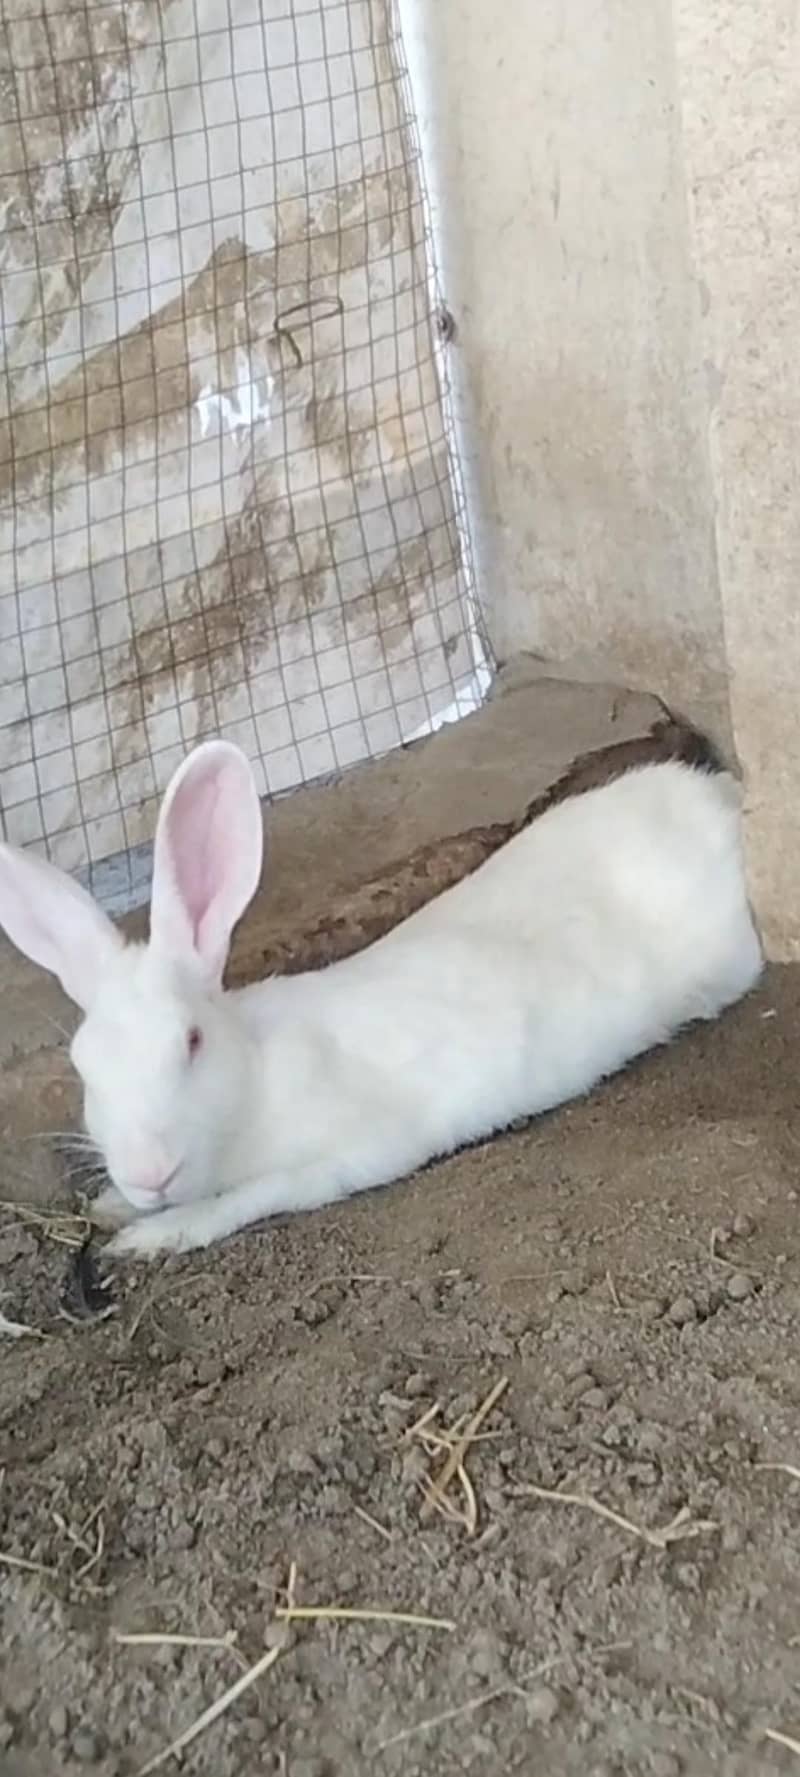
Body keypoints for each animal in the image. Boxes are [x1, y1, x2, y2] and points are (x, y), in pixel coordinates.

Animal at [0, 730, 762, 1258]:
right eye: (83, 1068)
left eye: (191, 1041)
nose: (149, 1171)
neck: (254, 1080)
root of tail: (724, 804)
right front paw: (114, 1205)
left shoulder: (346, 1155)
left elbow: (249, 1198)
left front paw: (150, 1237)